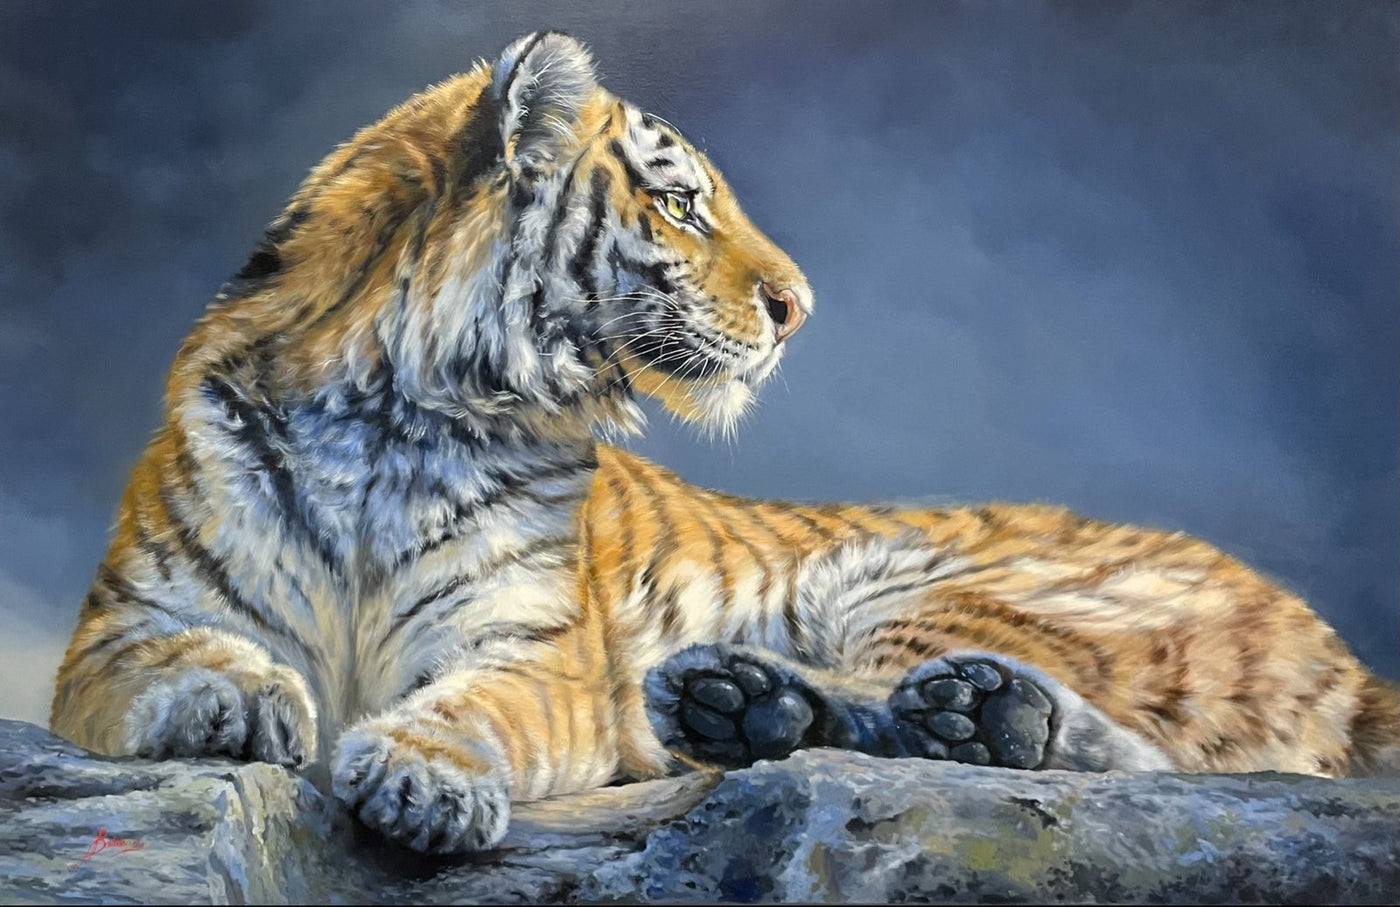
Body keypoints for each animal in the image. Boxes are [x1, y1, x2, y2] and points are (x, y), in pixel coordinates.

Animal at [50, 31, 1398, 855]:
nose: (800, 305)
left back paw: (913, 714)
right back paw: (750, 709)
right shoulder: (118, 627)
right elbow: (163, 663)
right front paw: (237, 700)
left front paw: (420, 777)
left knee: (1114, 754)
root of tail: (1341, 648)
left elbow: (472, 707)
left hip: (920, 585)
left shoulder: (532, 656)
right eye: (680, 200)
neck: (391, 418)